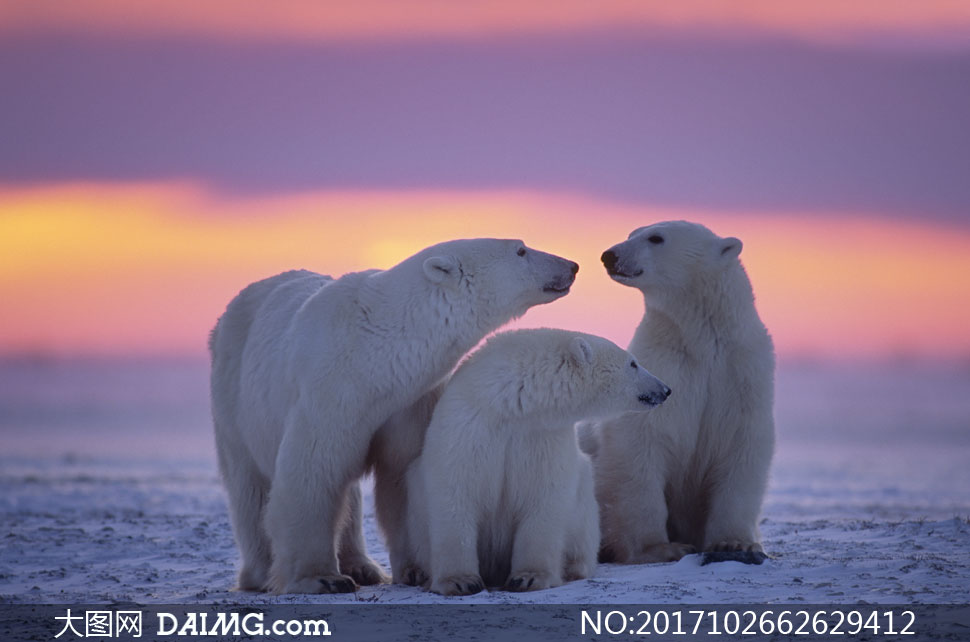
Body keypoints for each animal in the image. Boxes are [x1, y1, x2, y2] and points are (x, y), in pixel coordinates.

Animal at [209, 238, 580, 592]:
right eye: (521, 250)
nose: (572, 265)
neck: (375, 354)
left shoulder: (409, 401)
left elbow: (403, 473)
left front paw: (416, 570)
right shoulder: (328, 391)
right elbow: (312, 472)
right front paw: (322, 579)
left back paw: (363, 566)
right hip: (233, 396)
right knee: (250, 487)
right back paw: (261, 573)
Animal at [404, 328, 668, 592]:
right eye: (633, 363)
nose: (665, 389)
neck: (511, 406)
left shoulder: (543, 436)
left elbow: (543, 497)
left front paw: (529, 577)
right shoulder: (468, 426)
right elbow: (456, 493)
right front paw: (460, 581)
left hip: (583, 504)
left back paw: (573, 567)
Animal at [588, 221, 776, 564]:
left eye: (656, 238)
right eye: (633, 232)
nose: (609, 255)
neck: (701, 342)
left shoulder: (741, 374)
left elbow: (742, 447)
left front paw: (734, 543)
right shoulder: (663, 368)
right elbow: (640, 444)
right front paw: (661, 548)